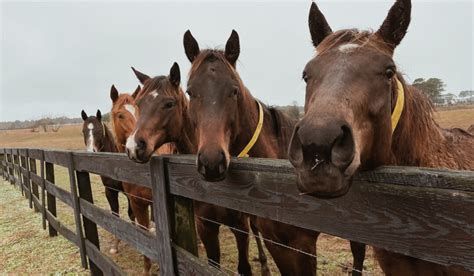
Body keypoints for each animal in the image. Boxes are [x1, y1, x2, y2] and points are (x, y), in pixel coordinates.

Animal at [80, 109, 134, 254]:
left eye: (99, 130)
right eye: (83, 131)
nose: (91, 152)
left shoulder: (130, 194)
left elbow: (131, 214)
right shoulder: (110, 192)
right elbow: (115, 216)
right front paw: (115, 245)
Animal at [110, 84, 175, 274]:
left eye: (138, 112)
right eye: (120, 115)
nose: (136, 146)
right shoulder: (137, 202)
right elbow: (143, 234)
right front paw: (147, 269)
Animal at [125, 63, 270, 276]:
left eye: (169, 104)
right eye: (139, 103)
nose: (134, 147)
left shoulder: (240, 225)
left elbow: (244, 266)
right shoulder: (205, 226)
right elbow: (212, 264)